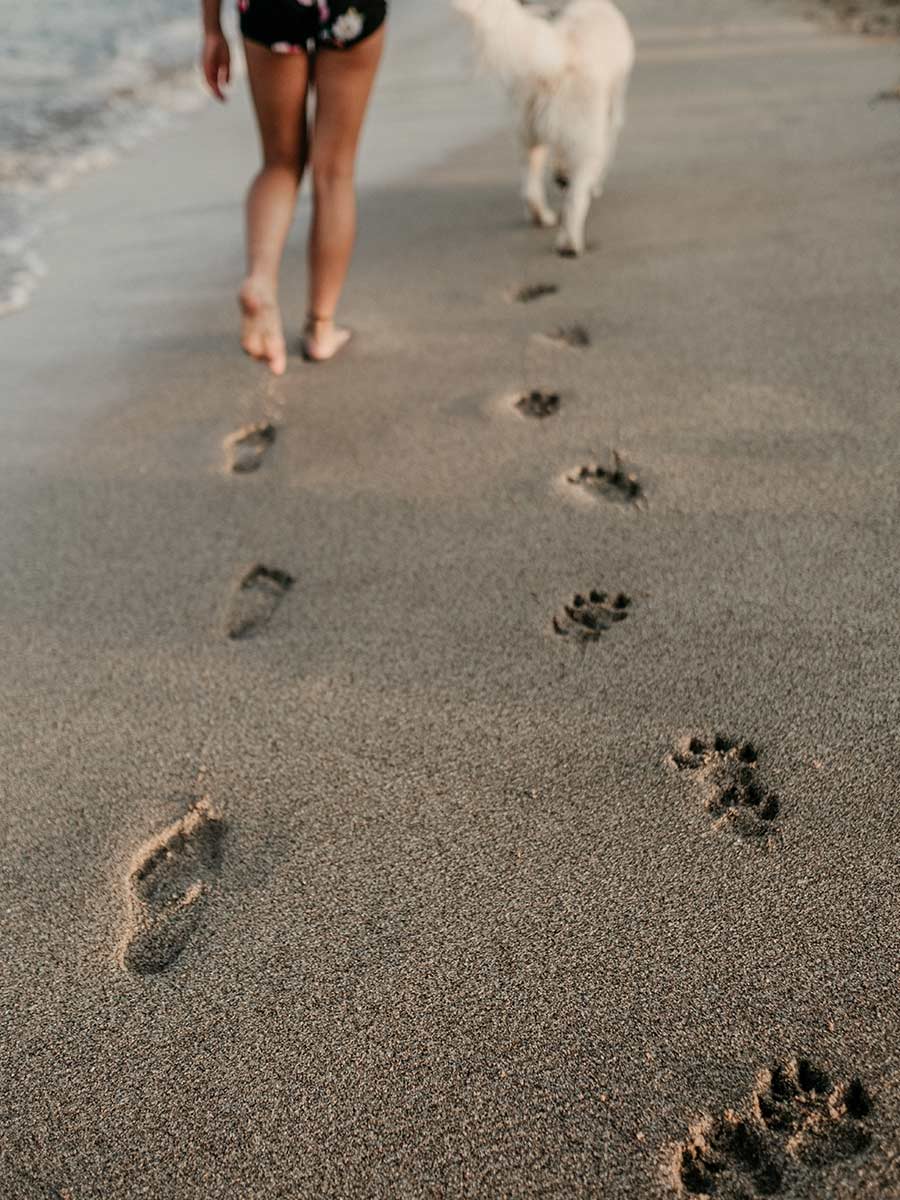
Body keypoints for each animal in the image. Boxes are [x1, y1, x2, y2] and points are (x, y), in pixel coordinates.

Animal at [453, 0, 638, 255]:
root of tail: (560, 57)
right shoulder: (611, 116)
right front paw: (592, 184)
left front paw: (561, 174)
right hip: (586, 142)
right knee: (574, 200)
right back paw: (570, 243)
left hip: (527, 136)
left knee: (530, 190)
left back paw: (543, 217)